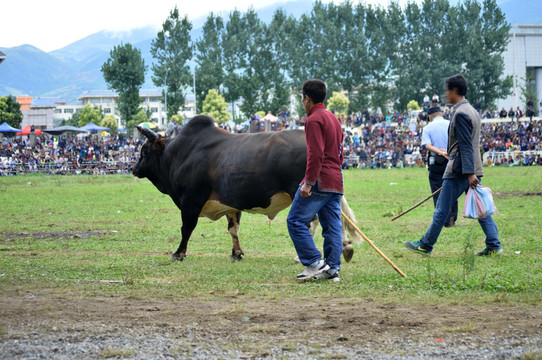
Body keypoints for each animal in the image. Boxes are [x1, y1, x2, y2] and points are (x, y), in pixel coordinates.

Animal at [132, 115, 362, 262]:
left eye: (144, 151)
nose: (133, 169)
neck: (179, 154)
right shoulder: (230, 204)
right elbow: (233, 228)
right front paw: (236, 253)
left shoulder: (191, 201)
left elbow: (186, 228)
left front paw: (178, 253)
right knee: (336, 219)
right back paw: (346, 247)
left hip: (305, 194)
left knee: (312, 222)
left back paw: (301, 256)